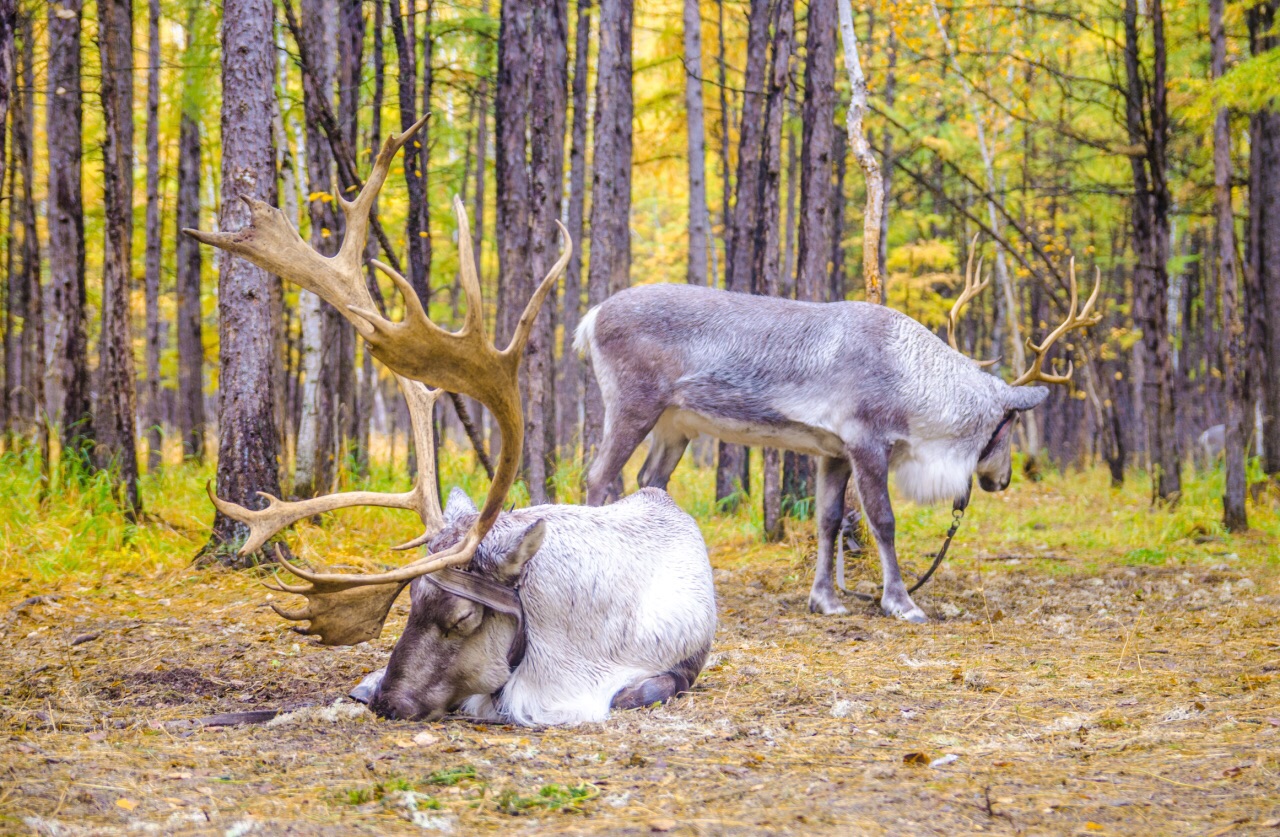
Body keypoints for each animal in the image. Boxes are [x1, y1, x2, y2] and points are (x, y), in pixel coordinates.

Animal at [185, 117, 717, 726]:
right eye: (408, 604)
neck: (581, 654)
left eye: (462, 617)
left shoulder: (678, 662)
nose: (388, 702)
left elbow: (648, 687)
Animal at [576, 247, 1101, 623]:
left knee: (650, 481)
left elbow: (828, 520)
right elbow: (883, 520)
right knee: (599, 477)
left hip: (675, 426)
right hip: (633, 405)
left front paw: (825, 600)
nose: (1002, 480)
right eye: (1009, 426)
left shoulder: (833, 452)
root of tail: (591, 315)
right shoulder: (868, 442)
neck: (917, 383)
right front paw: (902, 602)